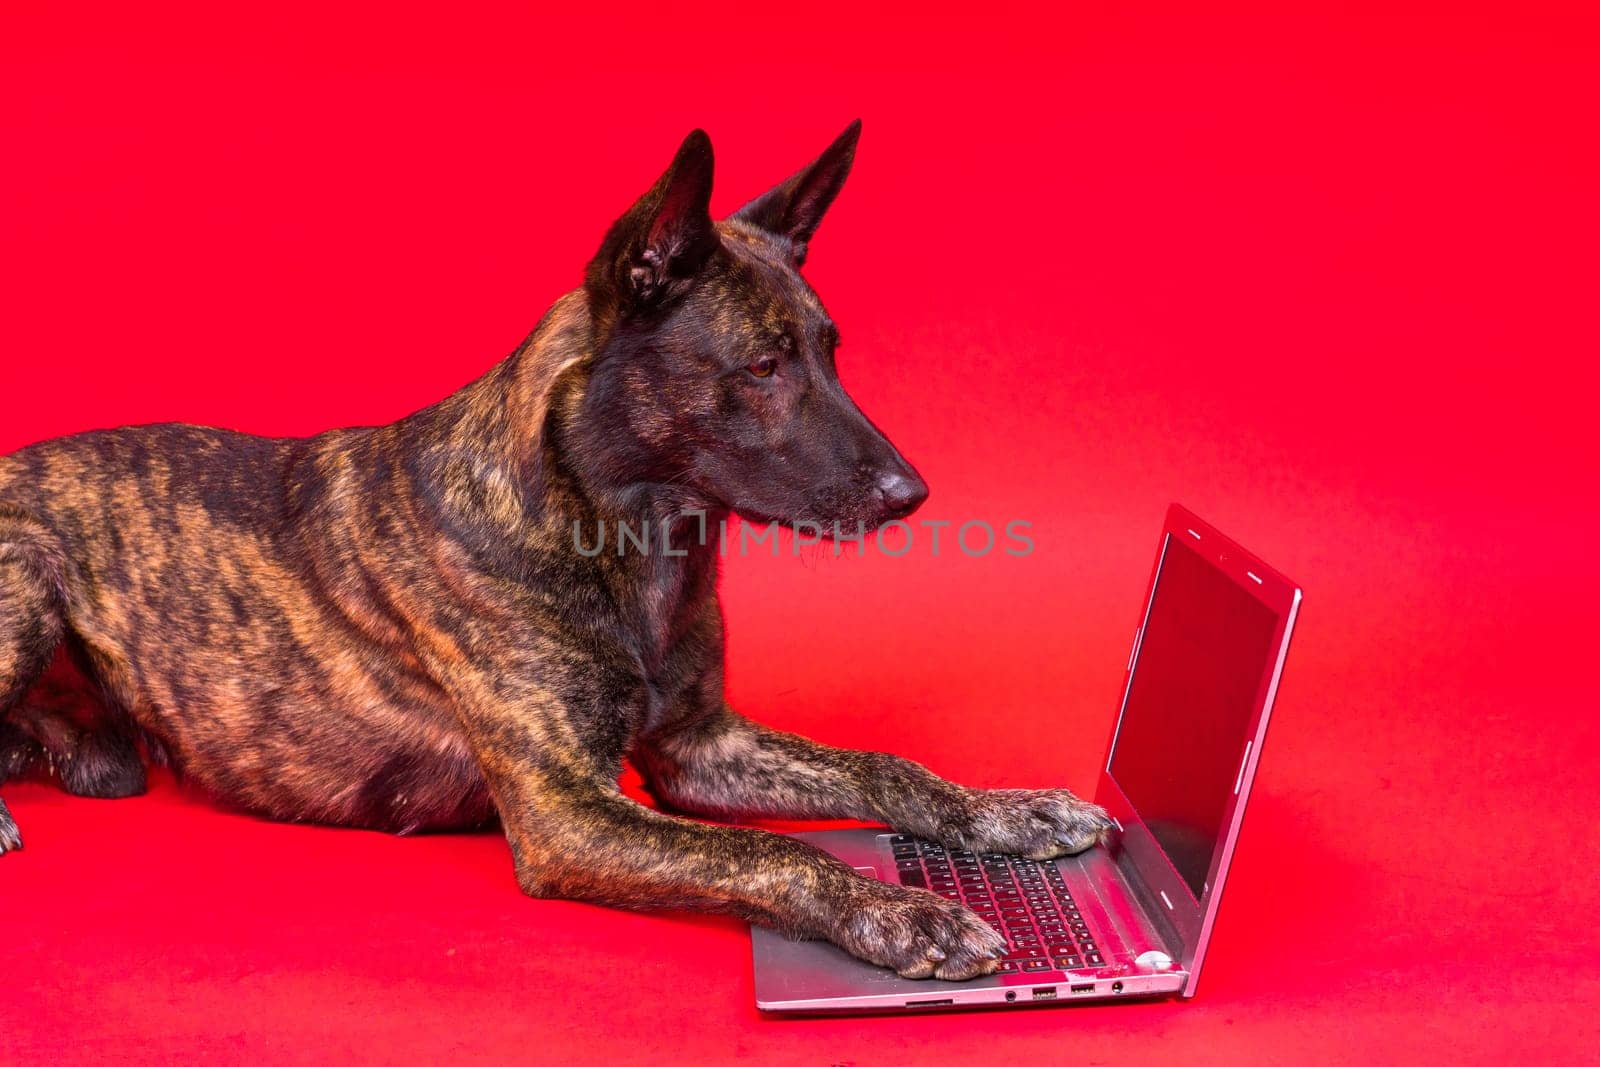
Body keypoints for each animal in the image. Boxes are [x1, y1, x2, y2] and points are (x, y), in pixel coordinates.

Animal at [0, 123, 1107, 979]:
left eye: (832, 353)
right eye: (761, 367)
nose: (911, 496)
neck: (631, 531)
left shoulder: (701, 745)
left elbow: (884, 767)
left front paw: (1008, 811)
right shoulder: (567, 812)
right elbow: (770, 853)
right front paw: (905, 912)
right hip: (28, 575)